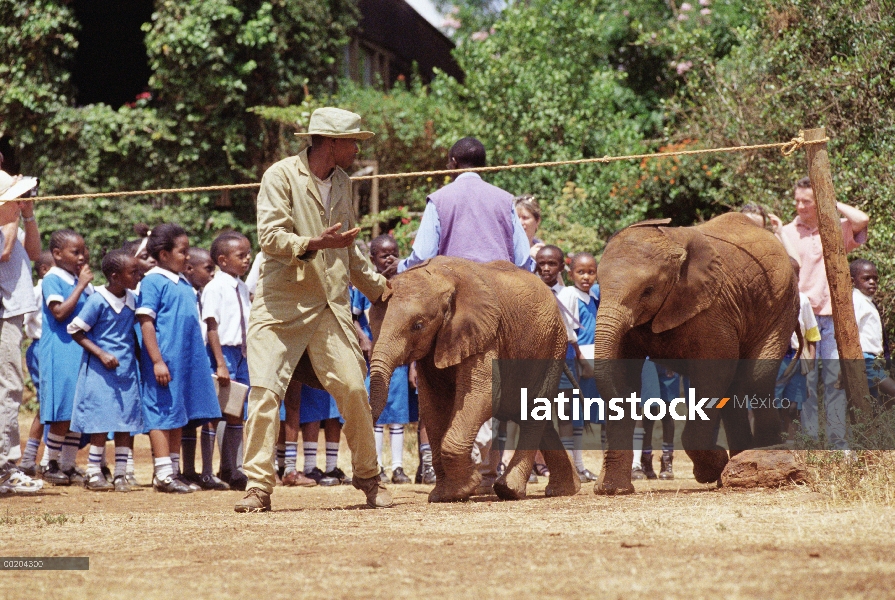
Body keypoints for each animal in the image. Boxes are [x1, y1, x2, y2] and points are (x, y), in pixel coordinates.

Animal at [370, 256, 580, 502]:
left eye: (418, 325)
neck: (441, 278)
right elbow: (433, 404)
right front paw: (443, 495)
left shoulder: (485, 334)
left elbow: (485, 394)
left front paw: (464, 487)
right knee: (526, 409)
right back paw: (565, 489)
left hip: (552, 344)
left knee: (532, 408)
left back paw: (509, 490)